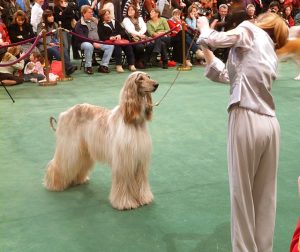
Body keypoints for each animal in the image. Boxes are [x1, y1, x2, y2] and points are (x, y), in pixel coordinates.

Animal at [44, 71, 159, 211]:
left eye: (148, 76)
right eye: (140, 78)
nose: (156, 84)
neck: (133, 121)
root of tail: (64, 114)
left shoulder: (140, 159)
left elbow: (141, 181)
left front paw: (144, 198)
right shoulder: (123, 161)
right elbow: (123, 183)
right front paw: (125, 202)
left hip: (83, 150)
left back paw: (77, 180)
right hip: (69, 147)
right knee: (58, 164)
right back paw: (54, 184)